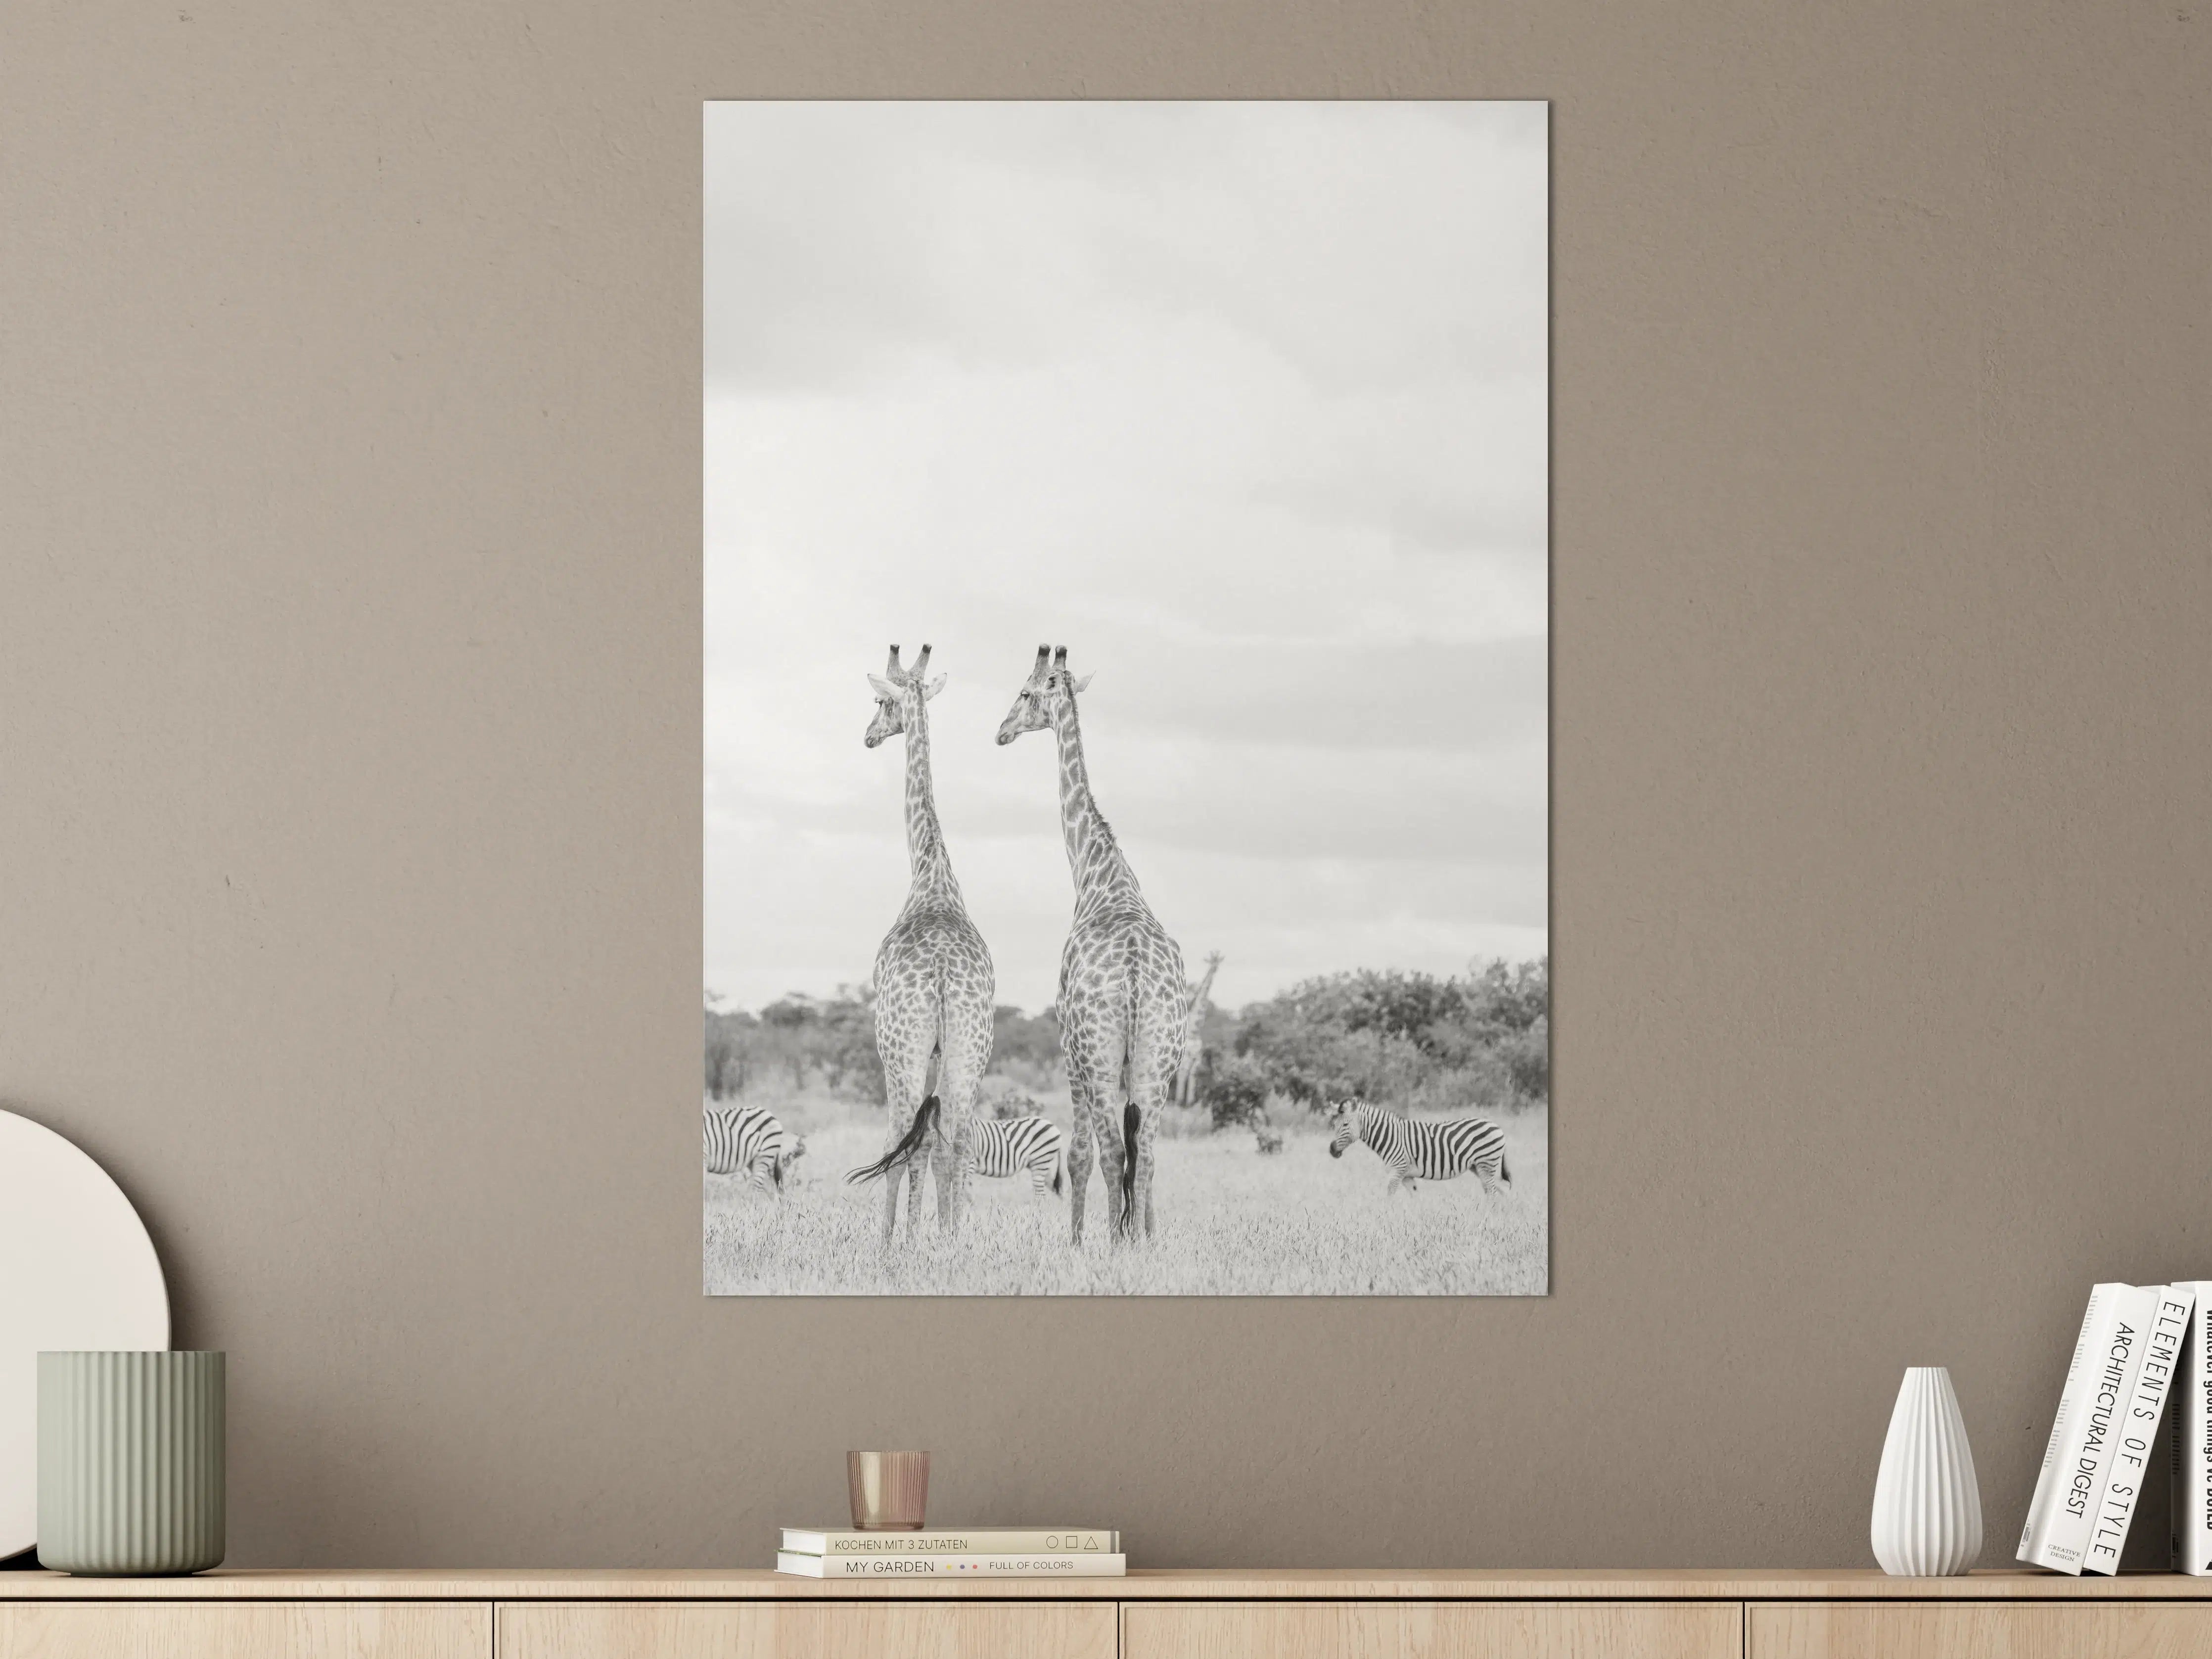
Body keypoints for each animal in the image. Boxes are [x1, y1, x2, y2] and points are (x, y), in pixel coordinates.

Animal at [1325, 1099, 1510, 1197]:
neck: (1390, 1136)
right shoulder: (1407, 1176)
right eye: (1333, 1125)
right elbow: (1415, 1197)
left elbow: (1389, 1196)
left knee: (1493, 1192)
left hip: (1487, 1163)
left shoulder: (1398, 1169)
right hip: (1479, 1167)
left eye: (1346, 1125)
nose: (1332, 1151)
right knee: (1497, 1192)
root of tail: (1497, 1127)